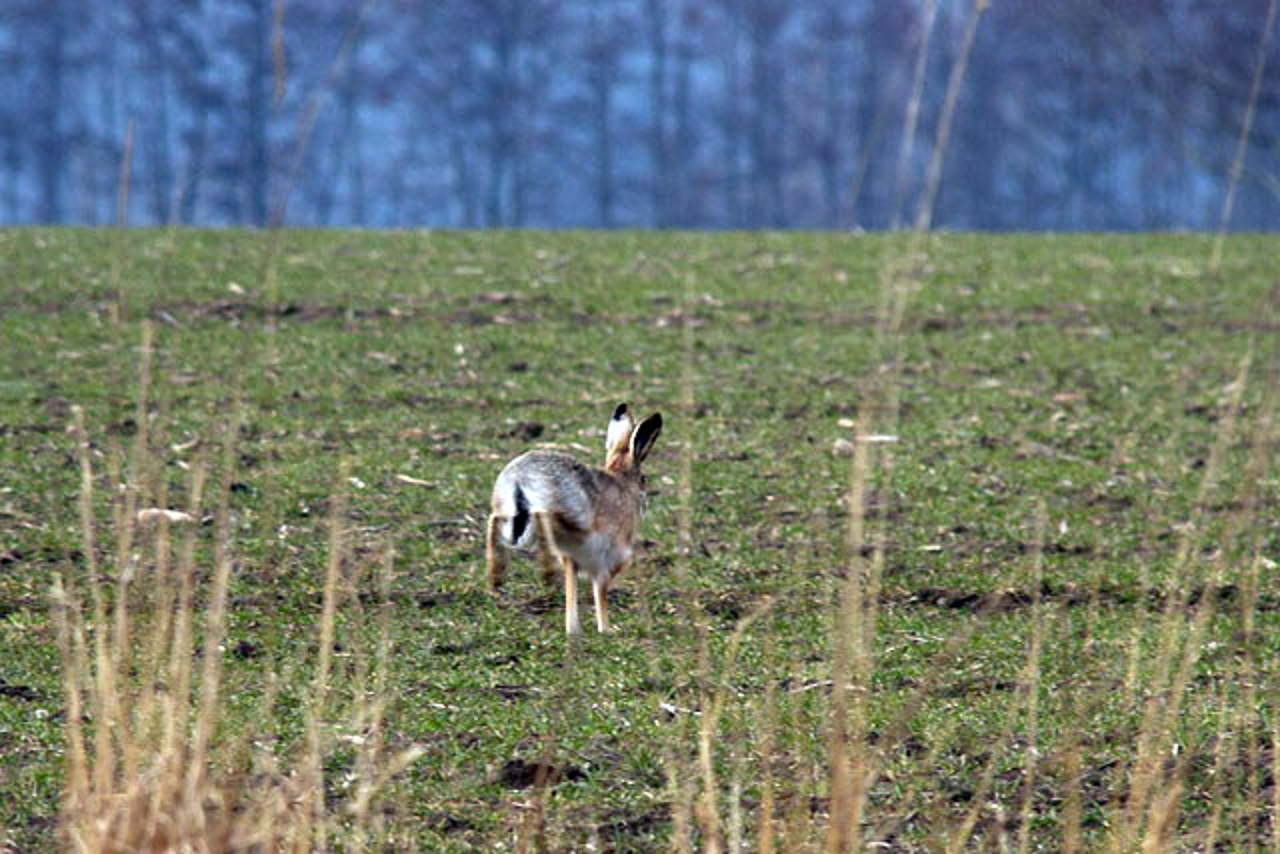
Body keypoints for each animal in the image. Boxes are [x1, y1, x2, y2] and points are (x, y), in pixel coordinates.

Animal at [486, 403, 663, 635]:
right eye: (644, 479)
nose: (645, 501)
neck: (624, 485)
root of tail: (519, 480)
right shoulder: (606, 560)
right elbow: (600, 591)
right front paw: (606, 629)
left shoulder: (573, 558)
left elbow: (572, 586)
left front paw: (573, 629)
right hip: (566, 513)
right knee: (544, 520)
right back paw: (544, 572)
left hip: (512, 518)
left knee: (496, 522)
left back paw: (496, 577)